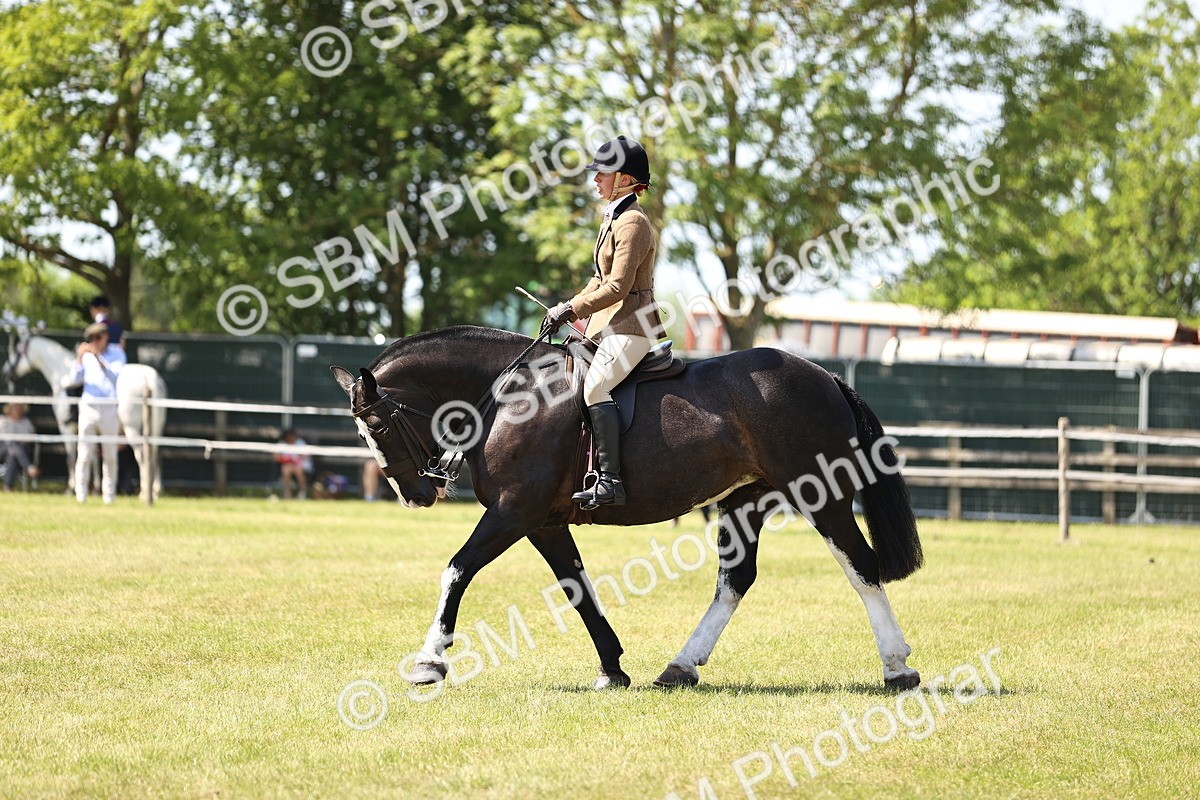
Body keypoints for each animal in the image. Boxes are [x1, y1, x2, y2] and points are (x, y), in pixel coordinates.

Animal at [3, 331, 169, 502]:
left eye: (17, 351)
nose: (6, 372)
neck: (62, 373)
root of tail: (150, 378)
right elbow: (93, 457)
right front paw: (95, 488)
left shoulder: (67, 428)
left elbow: (71, 457)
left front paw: (71, 488)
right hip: (154, 428)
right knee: (156, 454)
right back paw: (155, 490)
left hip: (132, 428)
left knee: (142, 455)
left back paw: (144, 492)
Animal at [331, 325, 923, 691]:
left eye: (376, 424)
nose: (416, 493)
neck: (508, 396)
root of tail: (824, 377)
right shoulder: (543, 522)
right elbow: (576, 589)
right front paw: (612, 668)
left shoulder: (512, 512)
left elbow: (457, 570)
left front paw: (430, 662)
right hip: (745, 501)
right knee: (735, 580)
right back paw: (680, 666)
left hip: (820, 494)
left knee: (861, 566)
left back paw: (896, 667)